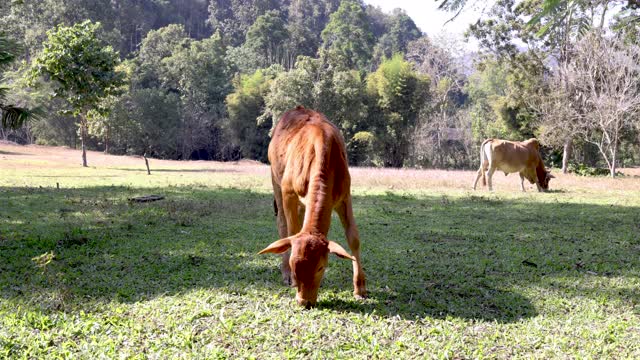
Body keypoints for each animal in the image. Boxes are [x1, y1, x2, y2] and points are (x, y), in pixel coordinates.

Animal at [256, 105, 364, 308]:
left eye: (321, 267)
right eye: (293, 264)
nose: (304, 301)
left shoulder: (344, 197)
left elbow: (353, 237)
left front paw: (360, 288)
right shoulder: (288, 192)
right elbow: (291, 232)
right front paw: (290, 276)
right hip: (276, 181)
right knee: (282, 225)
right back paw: (284, 274)